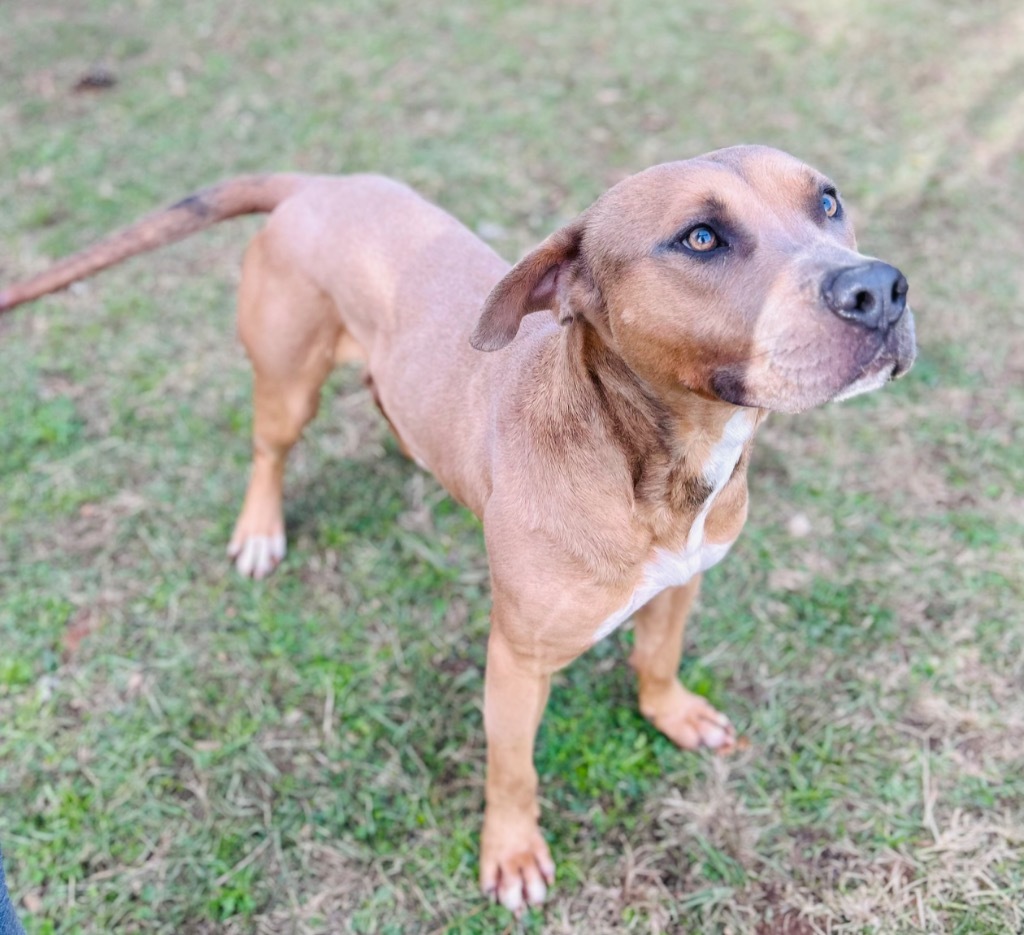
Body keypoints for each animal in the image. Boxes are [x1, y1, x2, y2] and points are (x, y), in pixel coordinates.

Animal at [0, 145, 913, 913]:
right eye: (700, 237)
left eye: (827, 200)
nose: (879, 288)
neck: (655, 463)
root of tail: (319, 183)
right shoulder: (516, 659)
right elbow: (513, 770)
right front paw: (511, 852)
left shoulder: (682, 582)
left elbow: (656, 656)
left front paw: (673, 712)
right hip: (288, 378)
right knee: (269, 447)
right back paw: (261, 527)